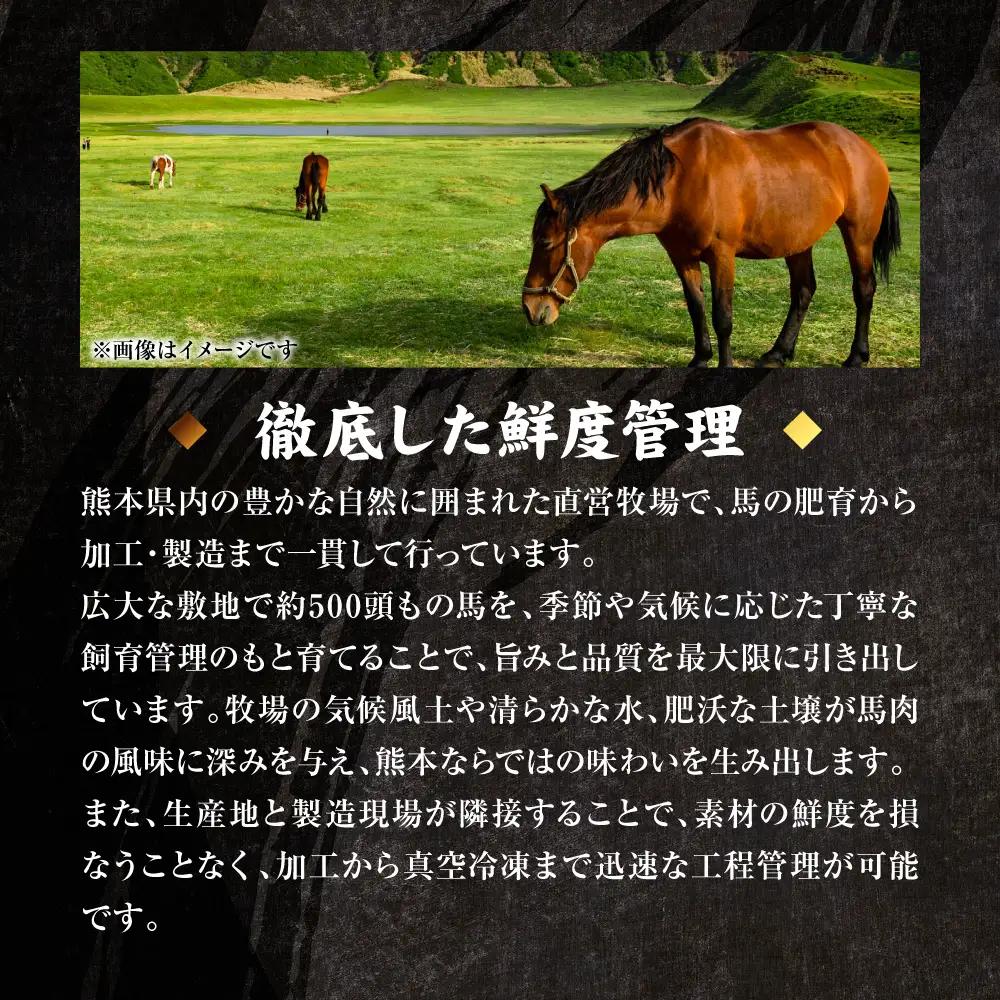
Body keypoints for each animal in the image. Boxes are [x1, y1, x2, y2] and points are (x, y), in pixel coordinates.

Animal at [523, 118, 902, 368]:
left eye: (545, 241)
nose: (529, 308)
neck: (680, 180)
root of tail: (865, 149)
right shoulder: (682, 257)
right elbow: (696, 307)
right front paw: (700, 358)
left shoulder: (722, 256)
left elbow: (723, 316)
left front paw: (723, 364)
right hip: (798, 241)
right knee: (804, 290)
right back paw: (778, 353)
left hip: (859, 235)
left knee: (863, 289)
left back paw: (856, 356)